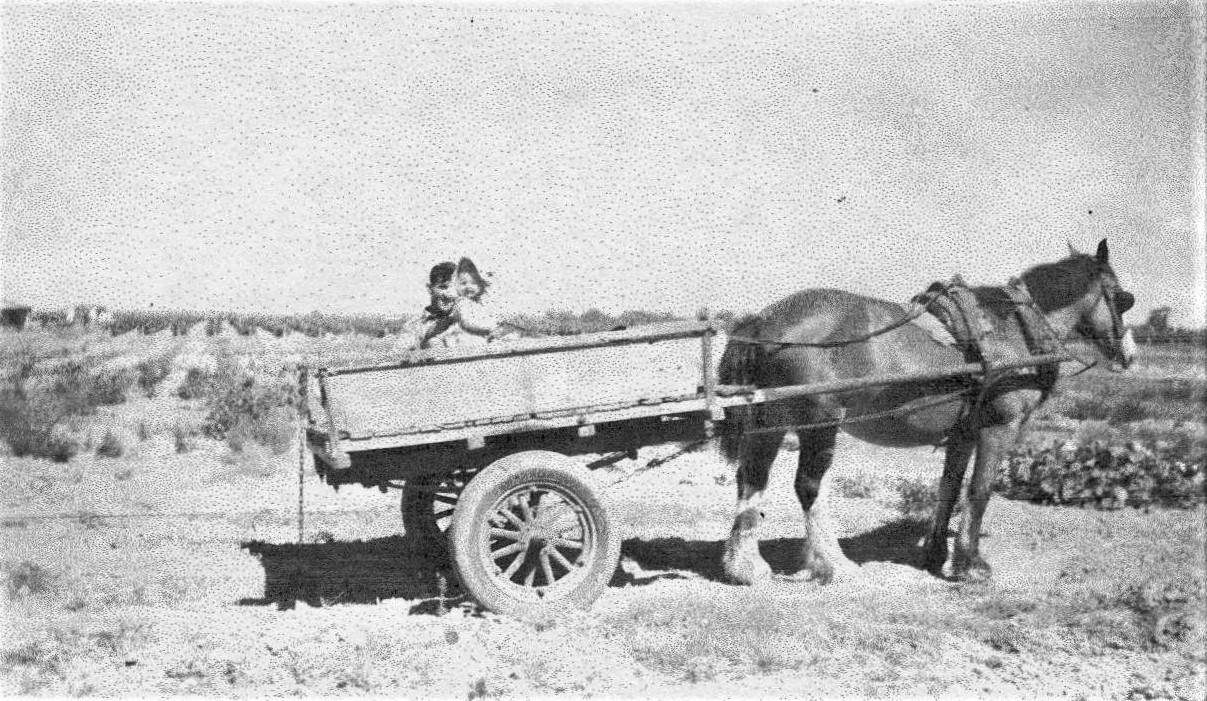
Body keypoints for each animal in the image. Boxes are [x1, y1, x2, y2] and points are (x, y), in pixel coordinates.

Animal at [719, 237, 1134, 581]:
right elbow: (979, 491)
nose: (1129, 355)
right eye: (1120, 297)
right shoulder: (999, 428)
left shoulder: (964, 433)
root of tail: (765, 321)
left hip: (771, 422)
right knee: (807, 486)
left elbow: (949, 489)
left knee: (752, 478)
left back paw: (745, 566)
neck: (1014, 329)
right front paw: (970, 564)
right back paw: (832, 563)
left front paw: (936, 555)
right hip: (819, 422)